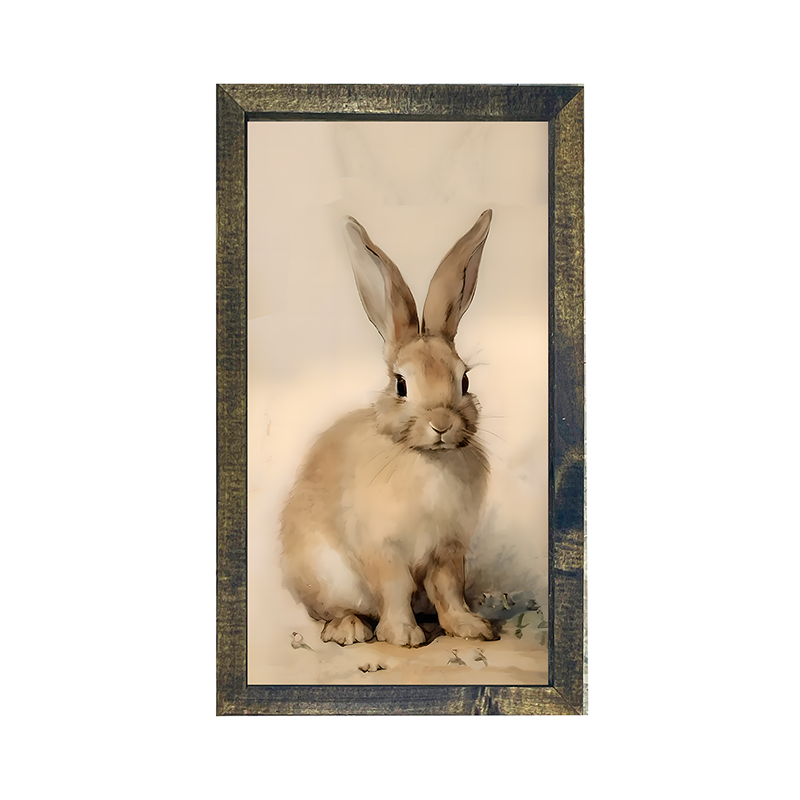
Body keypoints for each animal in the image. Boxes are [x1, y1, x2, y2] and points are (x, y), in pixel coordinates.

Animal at [280, 210, 498, 647]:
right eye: (401, 385)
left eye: (464, 380)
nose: (441, 423)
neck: (426, 458)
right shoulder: (382, 549)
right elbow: (395, 587)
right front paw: (404, 636)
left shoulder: (448, 549)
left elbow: (449, 589)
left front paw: (470, 628)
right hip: (326, 576)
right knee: (335, 611)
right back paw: (350, 630)